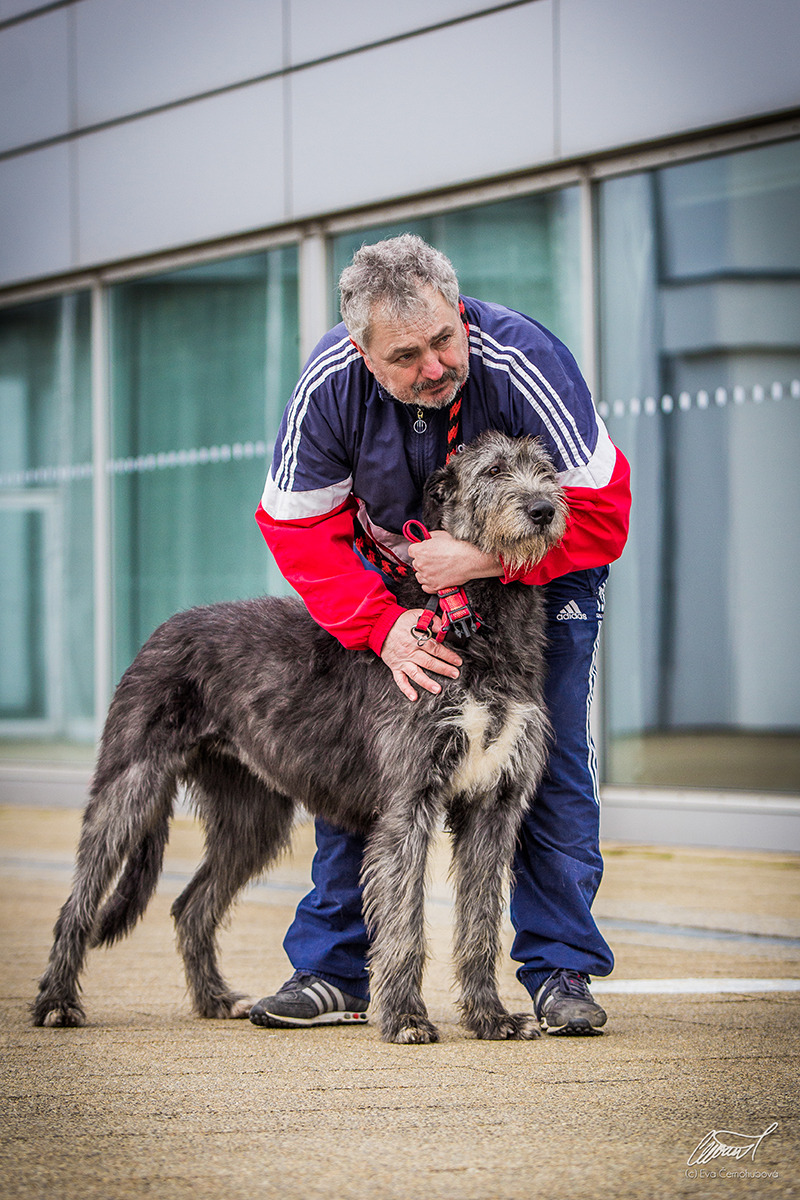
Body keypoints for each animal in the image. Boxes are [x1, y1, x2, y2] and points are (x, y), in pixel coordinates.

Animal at [32, 432, 568, 1041]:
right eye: (494, 470)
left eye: (545, 470)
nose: (543, 510)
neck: (469, 622)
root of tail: (163, 628)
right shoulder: (409, 802)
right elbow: (403, 922)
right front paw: (406, 1017)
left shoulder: (493, 806)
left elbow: (481, 923)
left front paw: (490, 1017)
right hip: (130, 786)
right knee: (78, 903)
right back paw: (56, 1001)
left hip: (252, 815)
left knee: (191, 905)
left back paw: (215, 997)